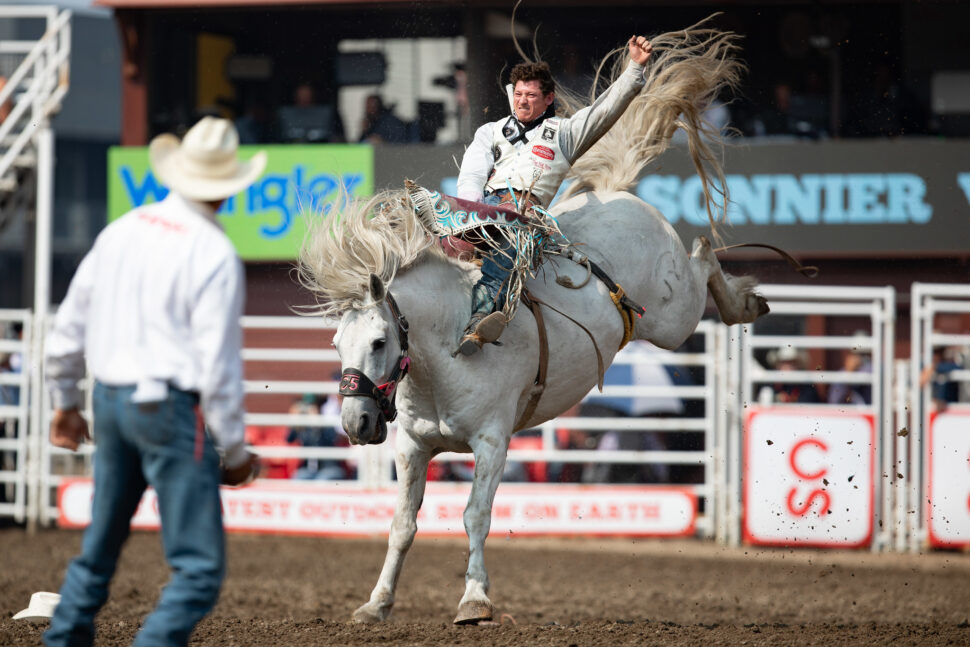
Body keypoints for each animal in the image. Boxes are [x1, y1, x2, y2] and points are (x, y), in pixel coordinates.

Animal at [294, 22, 764, 624]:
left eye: (379, 340)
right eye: (336, 343)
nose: (355, 423)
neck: (445, 355)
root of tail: (614, 193)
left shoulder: (493, 442)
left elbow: (475, 516)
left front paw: (474, 600)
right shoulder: (412, 447)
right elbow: (401, 525)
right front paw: (376, 603)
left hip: (673, 316)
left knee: (704, 255)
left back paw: (742, 303)